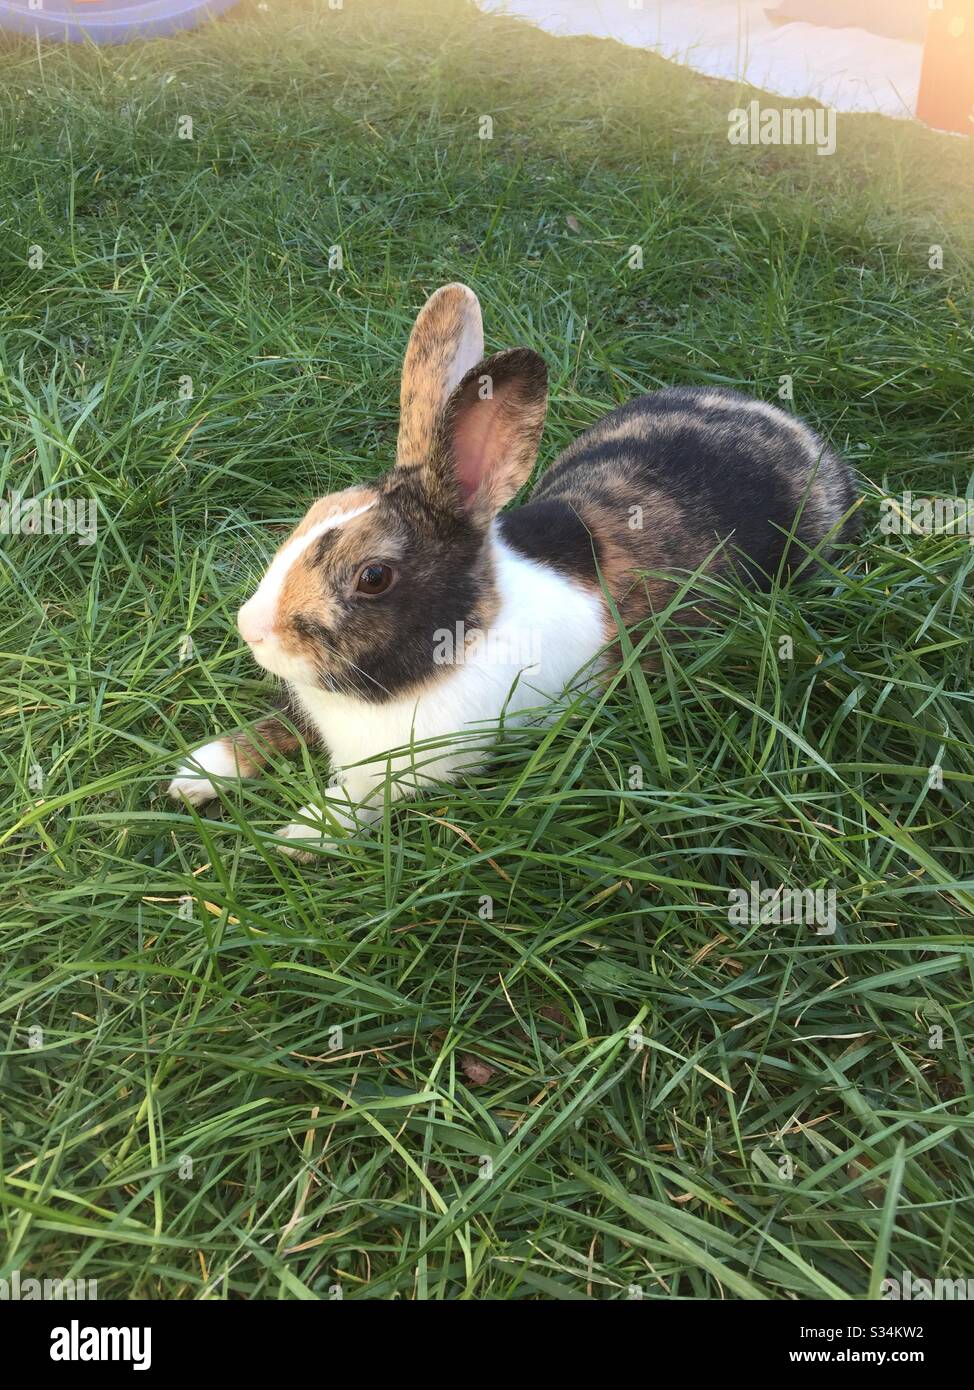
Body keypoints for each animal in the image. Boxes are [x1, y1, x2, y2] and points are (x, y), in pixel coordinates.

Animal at [168, 282, 858, 856]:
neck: (458, 645)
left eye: (373, 577)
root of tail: (793, 428)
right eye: (315, 512)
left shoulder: (415, 767)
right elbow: (274, 728)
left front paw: (300, 835)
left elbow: (358, 800)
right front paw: (197, 774)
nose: (251, 627)